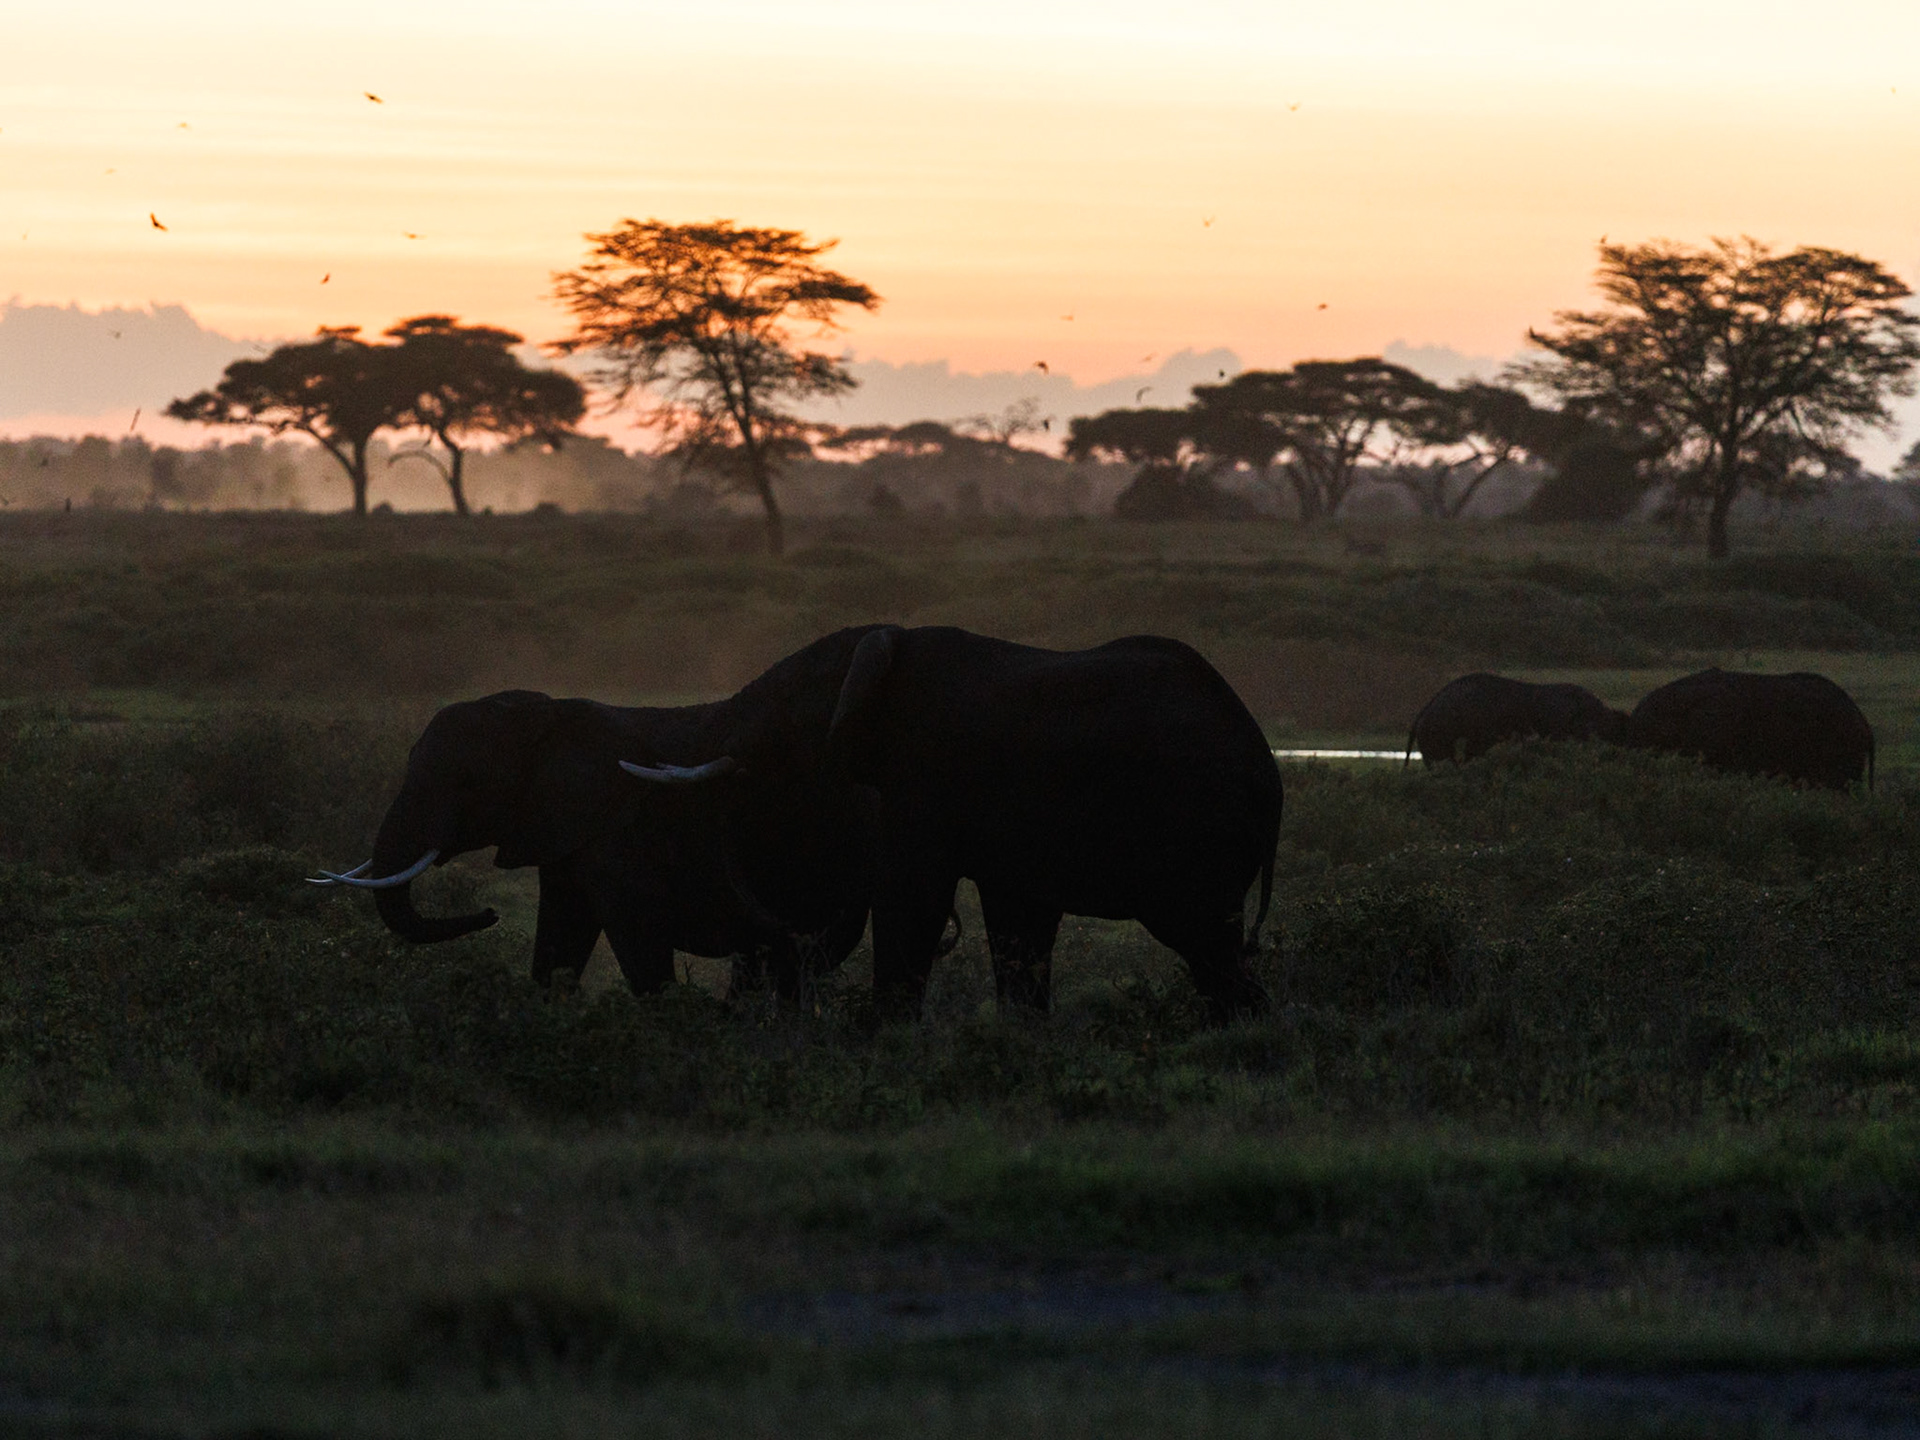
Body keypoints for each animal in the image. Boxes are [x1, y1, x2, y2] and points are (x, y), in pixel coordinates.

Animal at [307, 645, 884, 998]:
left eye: (467, 783)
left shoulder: (620, 833)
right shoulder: (564, 833)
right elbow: (561, 935)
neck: (551, 717)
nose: (489, 913)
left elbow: (638, 940)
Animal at [641, 625, 1282, 1025]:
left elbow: (911, 902)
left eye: (783, 708)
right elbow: (1017, 921)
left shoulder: (924, 779)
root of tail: (1267, 766)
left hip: (1198, 832)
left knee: (1207, 944)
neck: (879, 648)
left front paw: (882, 1039)